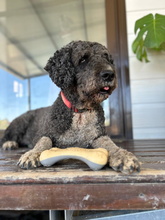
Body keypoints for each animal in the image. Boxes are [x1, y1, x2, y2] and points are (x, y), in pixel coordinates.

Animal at [1, 40, 141, 173]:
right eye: (83, 59)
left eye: (106, 58)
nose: (109, 74)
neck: (80, 112)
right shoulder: (44, 133)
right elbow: (44, 141)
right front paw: (32, 154)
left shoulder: (98, 135)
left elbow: (110, 144)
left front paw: (123, 156)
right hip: (19, 123)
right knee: (5, 137)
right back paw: (10, 143)